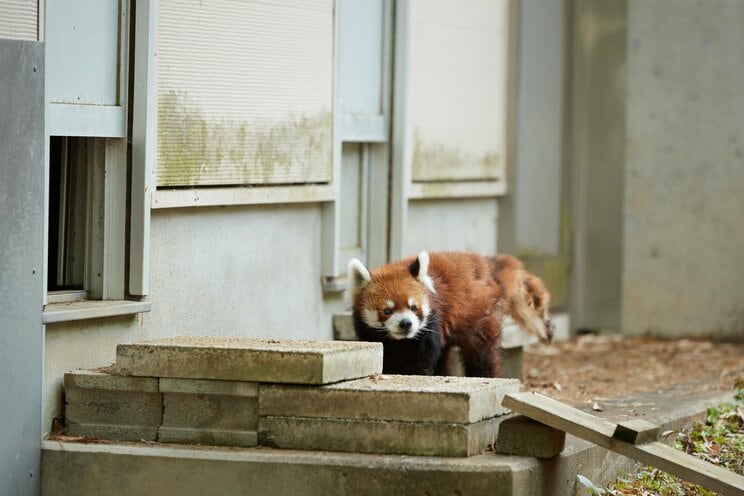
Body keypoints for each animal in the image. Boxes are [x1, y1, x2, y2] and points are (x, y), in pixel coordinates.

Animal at [348, 250, 552, 378]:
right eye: (387, 311)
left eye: (414, 307)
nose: (406, 323)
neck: (400, 340)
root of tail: (487, 267)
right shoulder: (370, 333)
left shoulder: (430, 326)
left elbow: (420, 361)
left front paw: (413, 375)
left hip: (481, 319)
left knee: (482, 356)